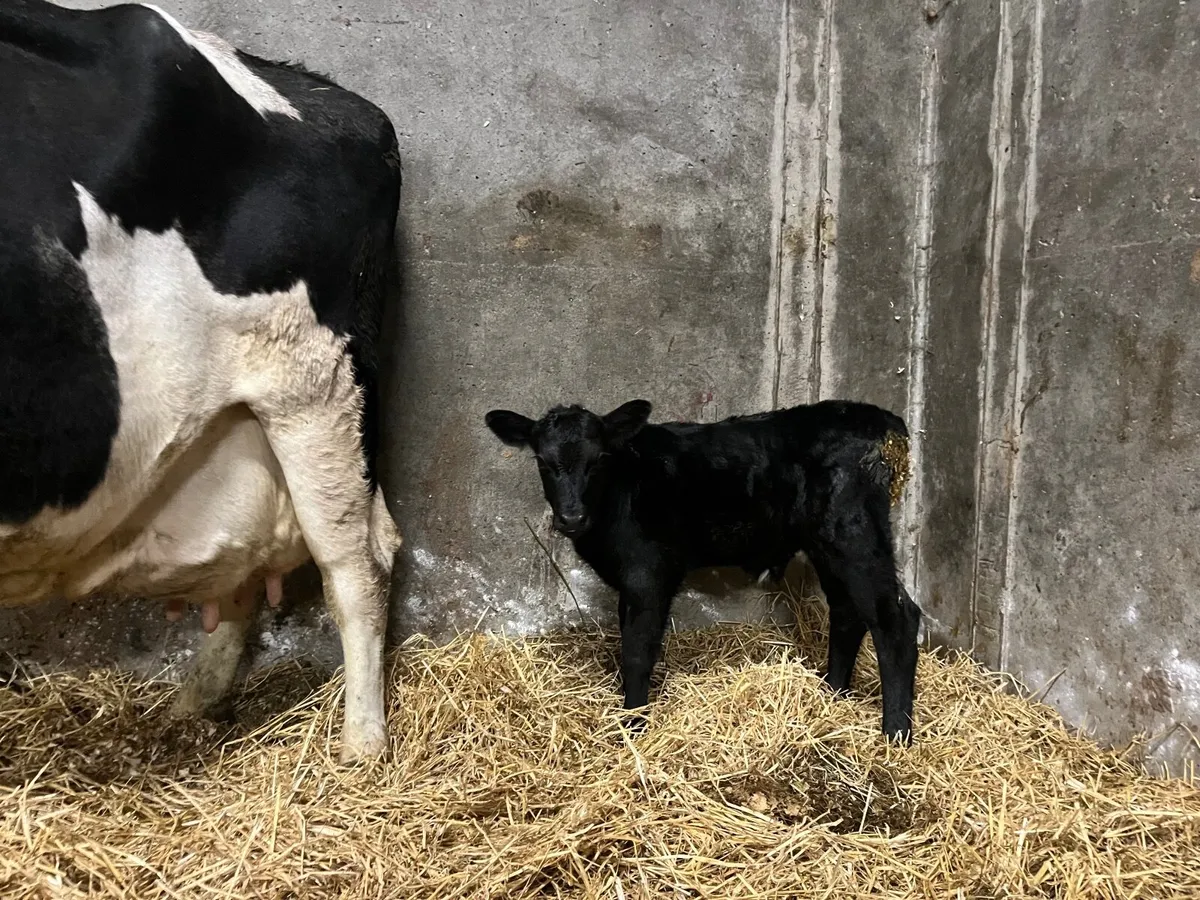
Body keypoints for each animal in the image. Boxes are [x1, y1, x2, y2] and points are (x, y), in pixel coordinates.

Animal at [484, 399, 922, 742]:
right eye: (543, 462)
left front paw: (634, 725)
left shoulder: (649, 574)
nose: (571, 517)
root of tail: (885, 423)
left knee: (896, 617)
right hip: (827, 544)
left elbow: (637, 651)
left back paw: (895, 733)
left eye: (600, 460)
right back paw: (831, 694)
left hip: (854, 533)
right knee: (849, 612)